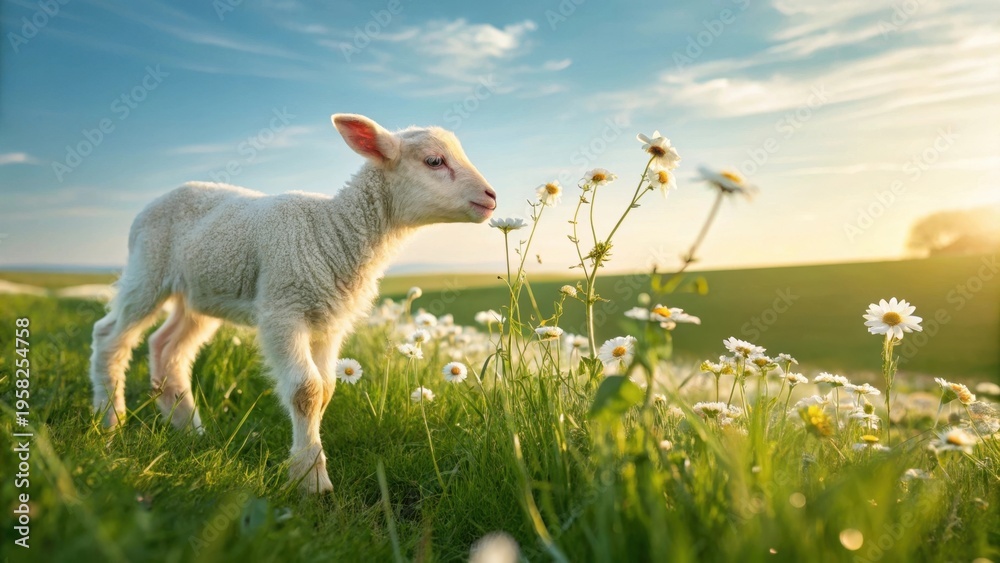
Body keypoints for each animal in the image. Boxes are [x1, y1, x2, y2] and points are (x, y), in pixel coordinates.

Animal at [88, 114, 497, 493]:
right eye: (434, 161)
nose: (492, 197)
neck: (333, 232)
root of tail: (157, 199)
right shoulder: (283, 311)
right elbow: (306, 391)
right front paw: (311, 478)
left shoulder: (330, 321)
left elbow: (327, 389)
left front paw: (309, 465)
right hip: (148, 269)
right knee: (110, 336)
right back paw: (110, 422)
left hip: (200, 293)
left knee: (167, 348)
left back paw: (188, 428)